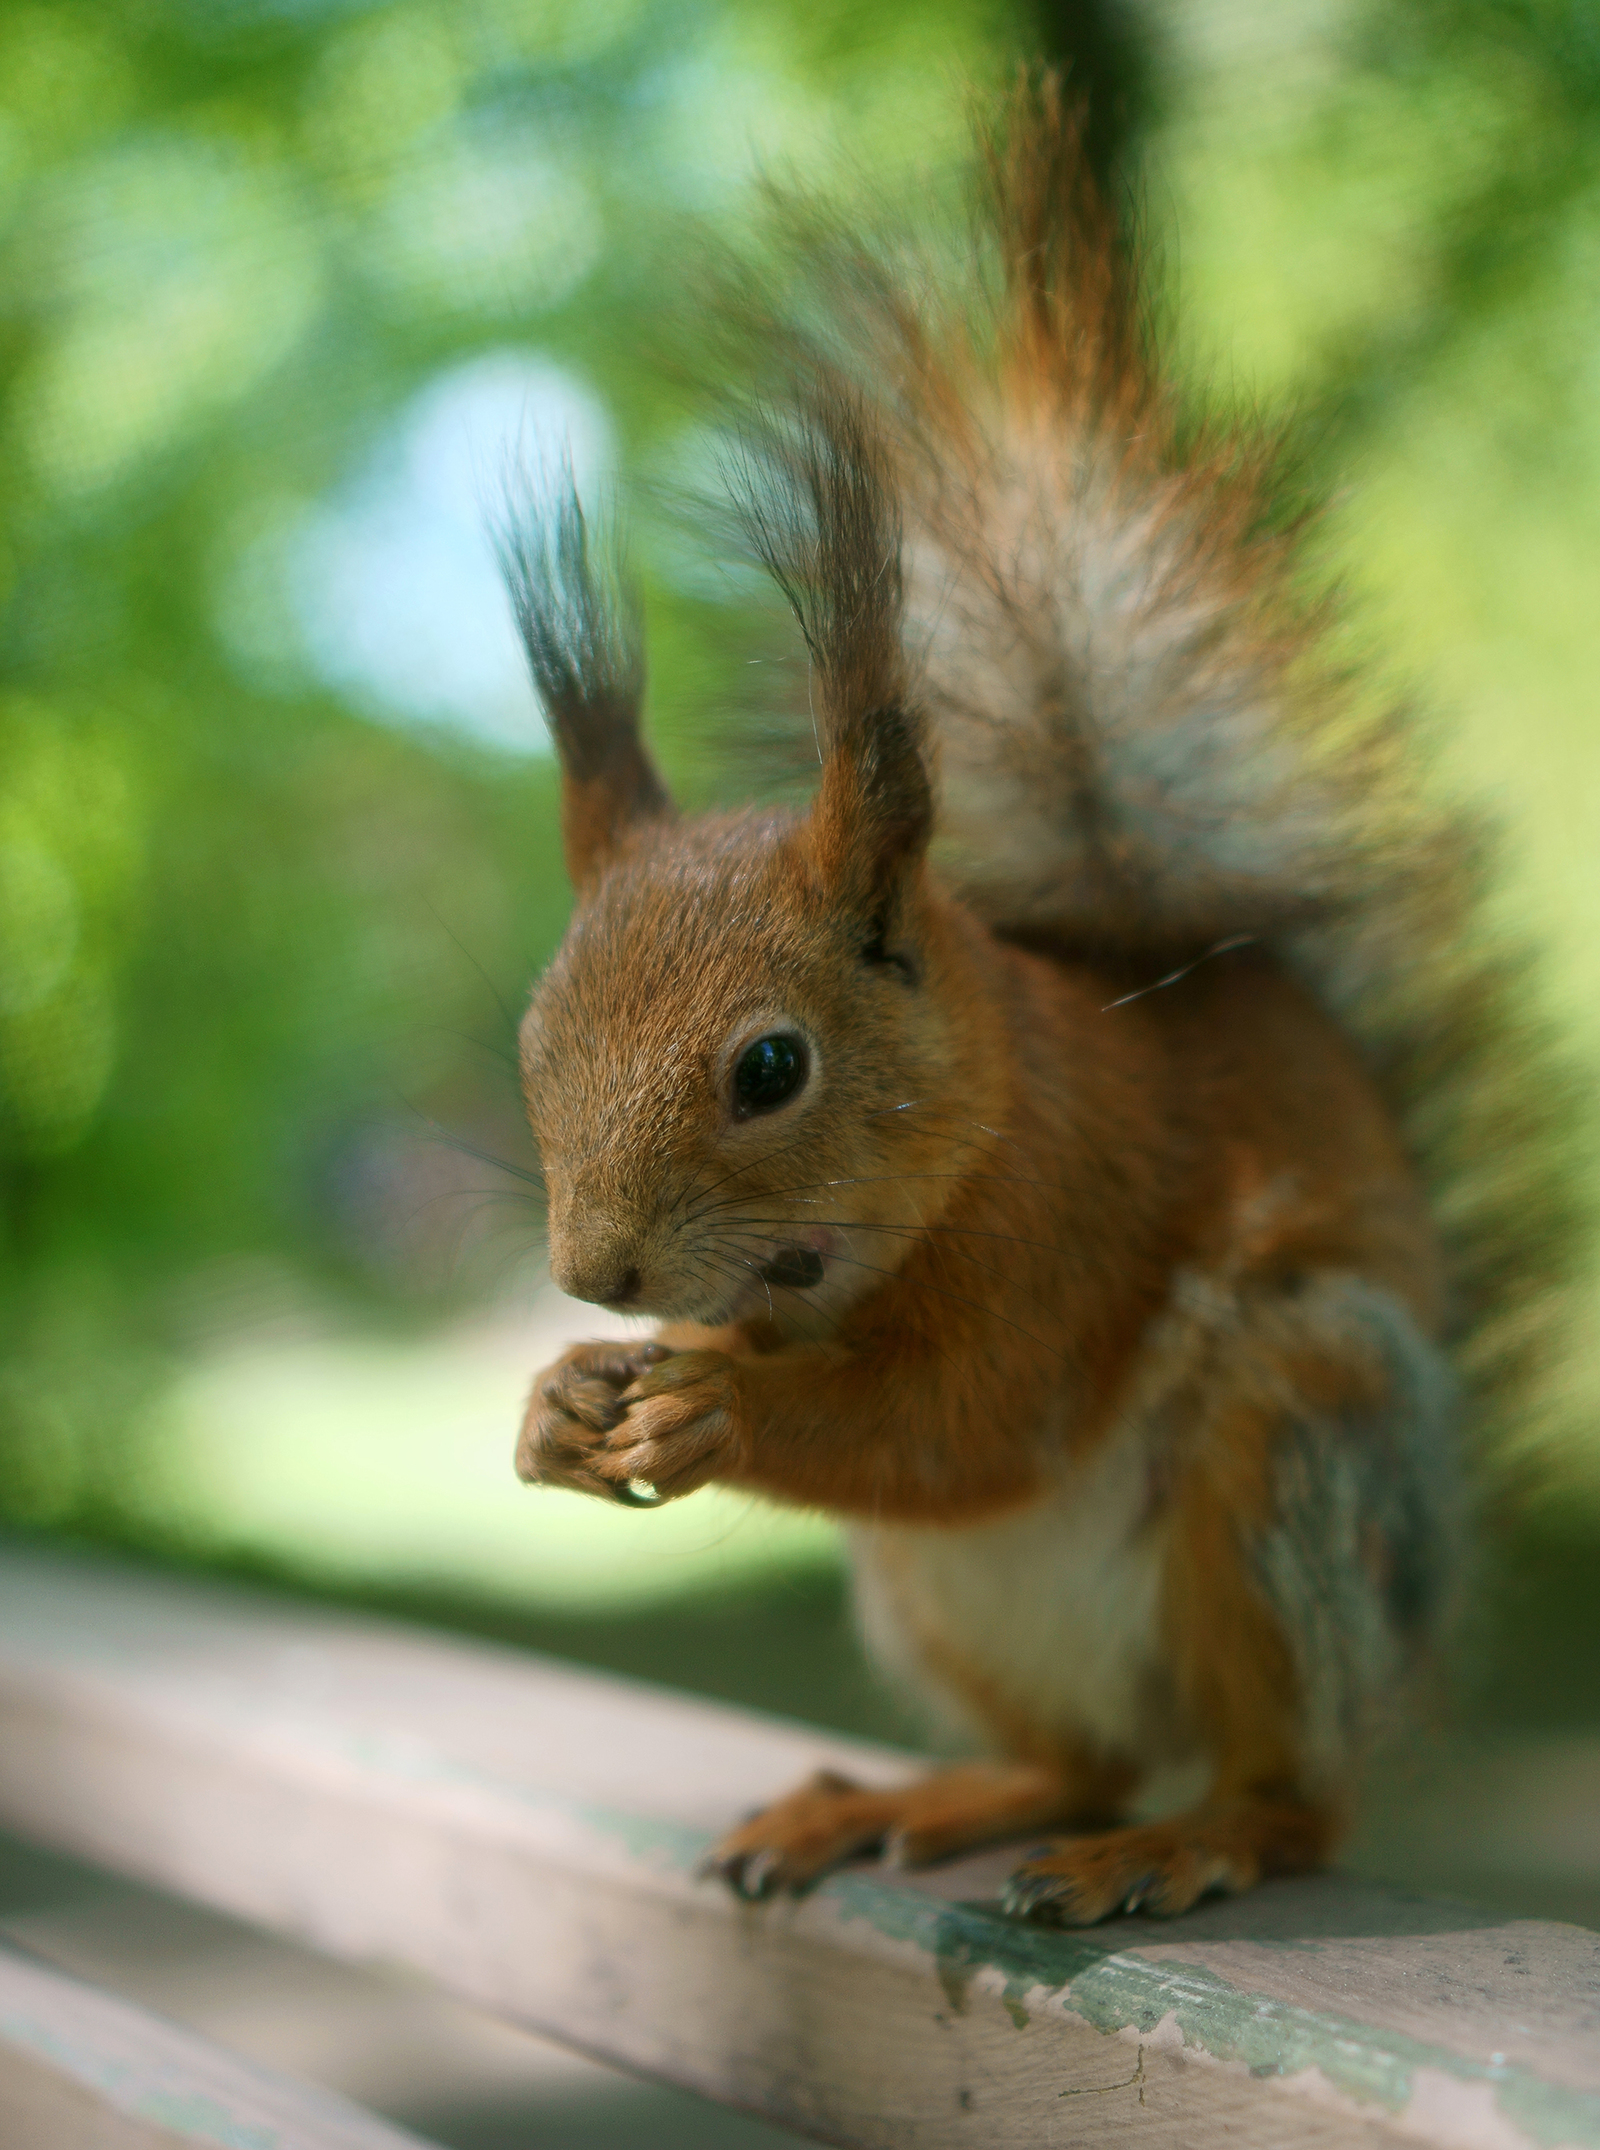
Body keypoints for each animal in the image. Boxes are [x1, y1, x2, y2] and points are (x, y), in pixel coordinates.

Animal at [496, 79, 1565, 1935]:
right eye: (532, 1043)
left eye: (771, 1065)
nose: (597, 1273)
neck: (974, 1124)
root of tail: (1408, 1664)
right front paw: (564, 1404)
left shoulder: (1080, 1205)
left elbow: (973, 1419)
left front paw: (728, 1410)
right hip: (938, 1605)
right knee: (1073, 1757)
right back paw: (910, 1800)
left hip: (1293, 1447)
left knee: (1285, 1795)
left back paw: (1186, 1840)